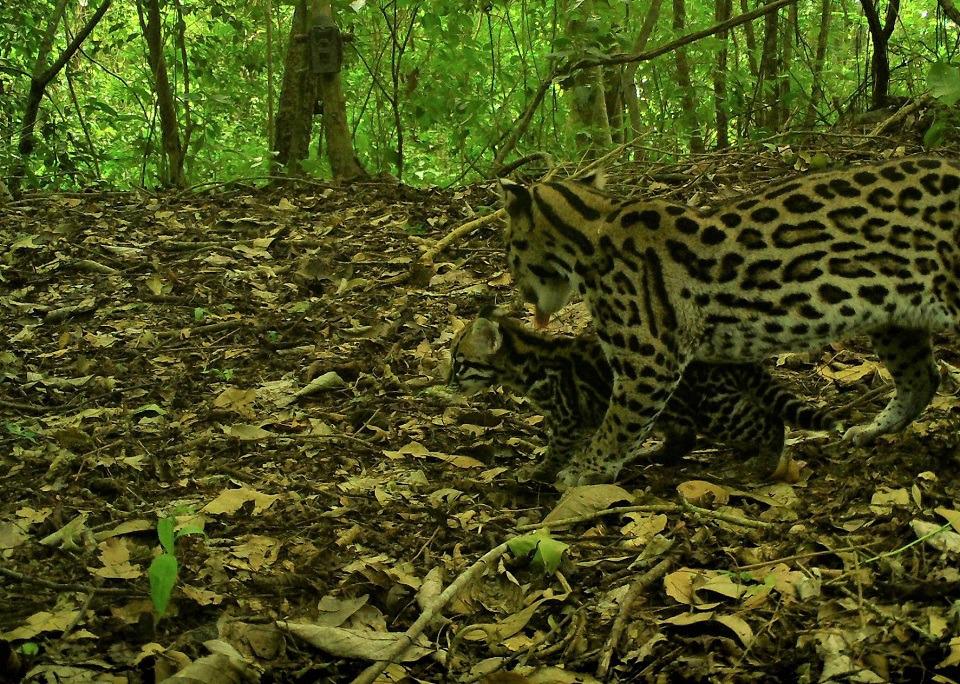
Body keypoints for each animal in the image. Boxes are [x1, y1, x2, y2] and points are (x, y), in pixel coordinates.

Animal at [448, 316, 832, 480]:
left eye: (459, 361)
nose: (447, 381)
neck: (532, 359)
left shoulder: (568, 416)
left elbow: (558, 450)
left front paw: (538, 471)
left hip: (715, 409)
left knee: (769, 423)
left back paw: (763, 461)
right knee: (684, 437)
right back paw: (656, 455)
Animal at [498, 156, 956, 486]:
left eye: (508, 248)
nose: (520, 289)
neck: (590, 227)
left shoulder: (648, 362)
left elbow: (620, 422)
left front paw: (586, 468)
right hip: (895, 318)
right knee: (922, 376)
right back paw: (873, 429)